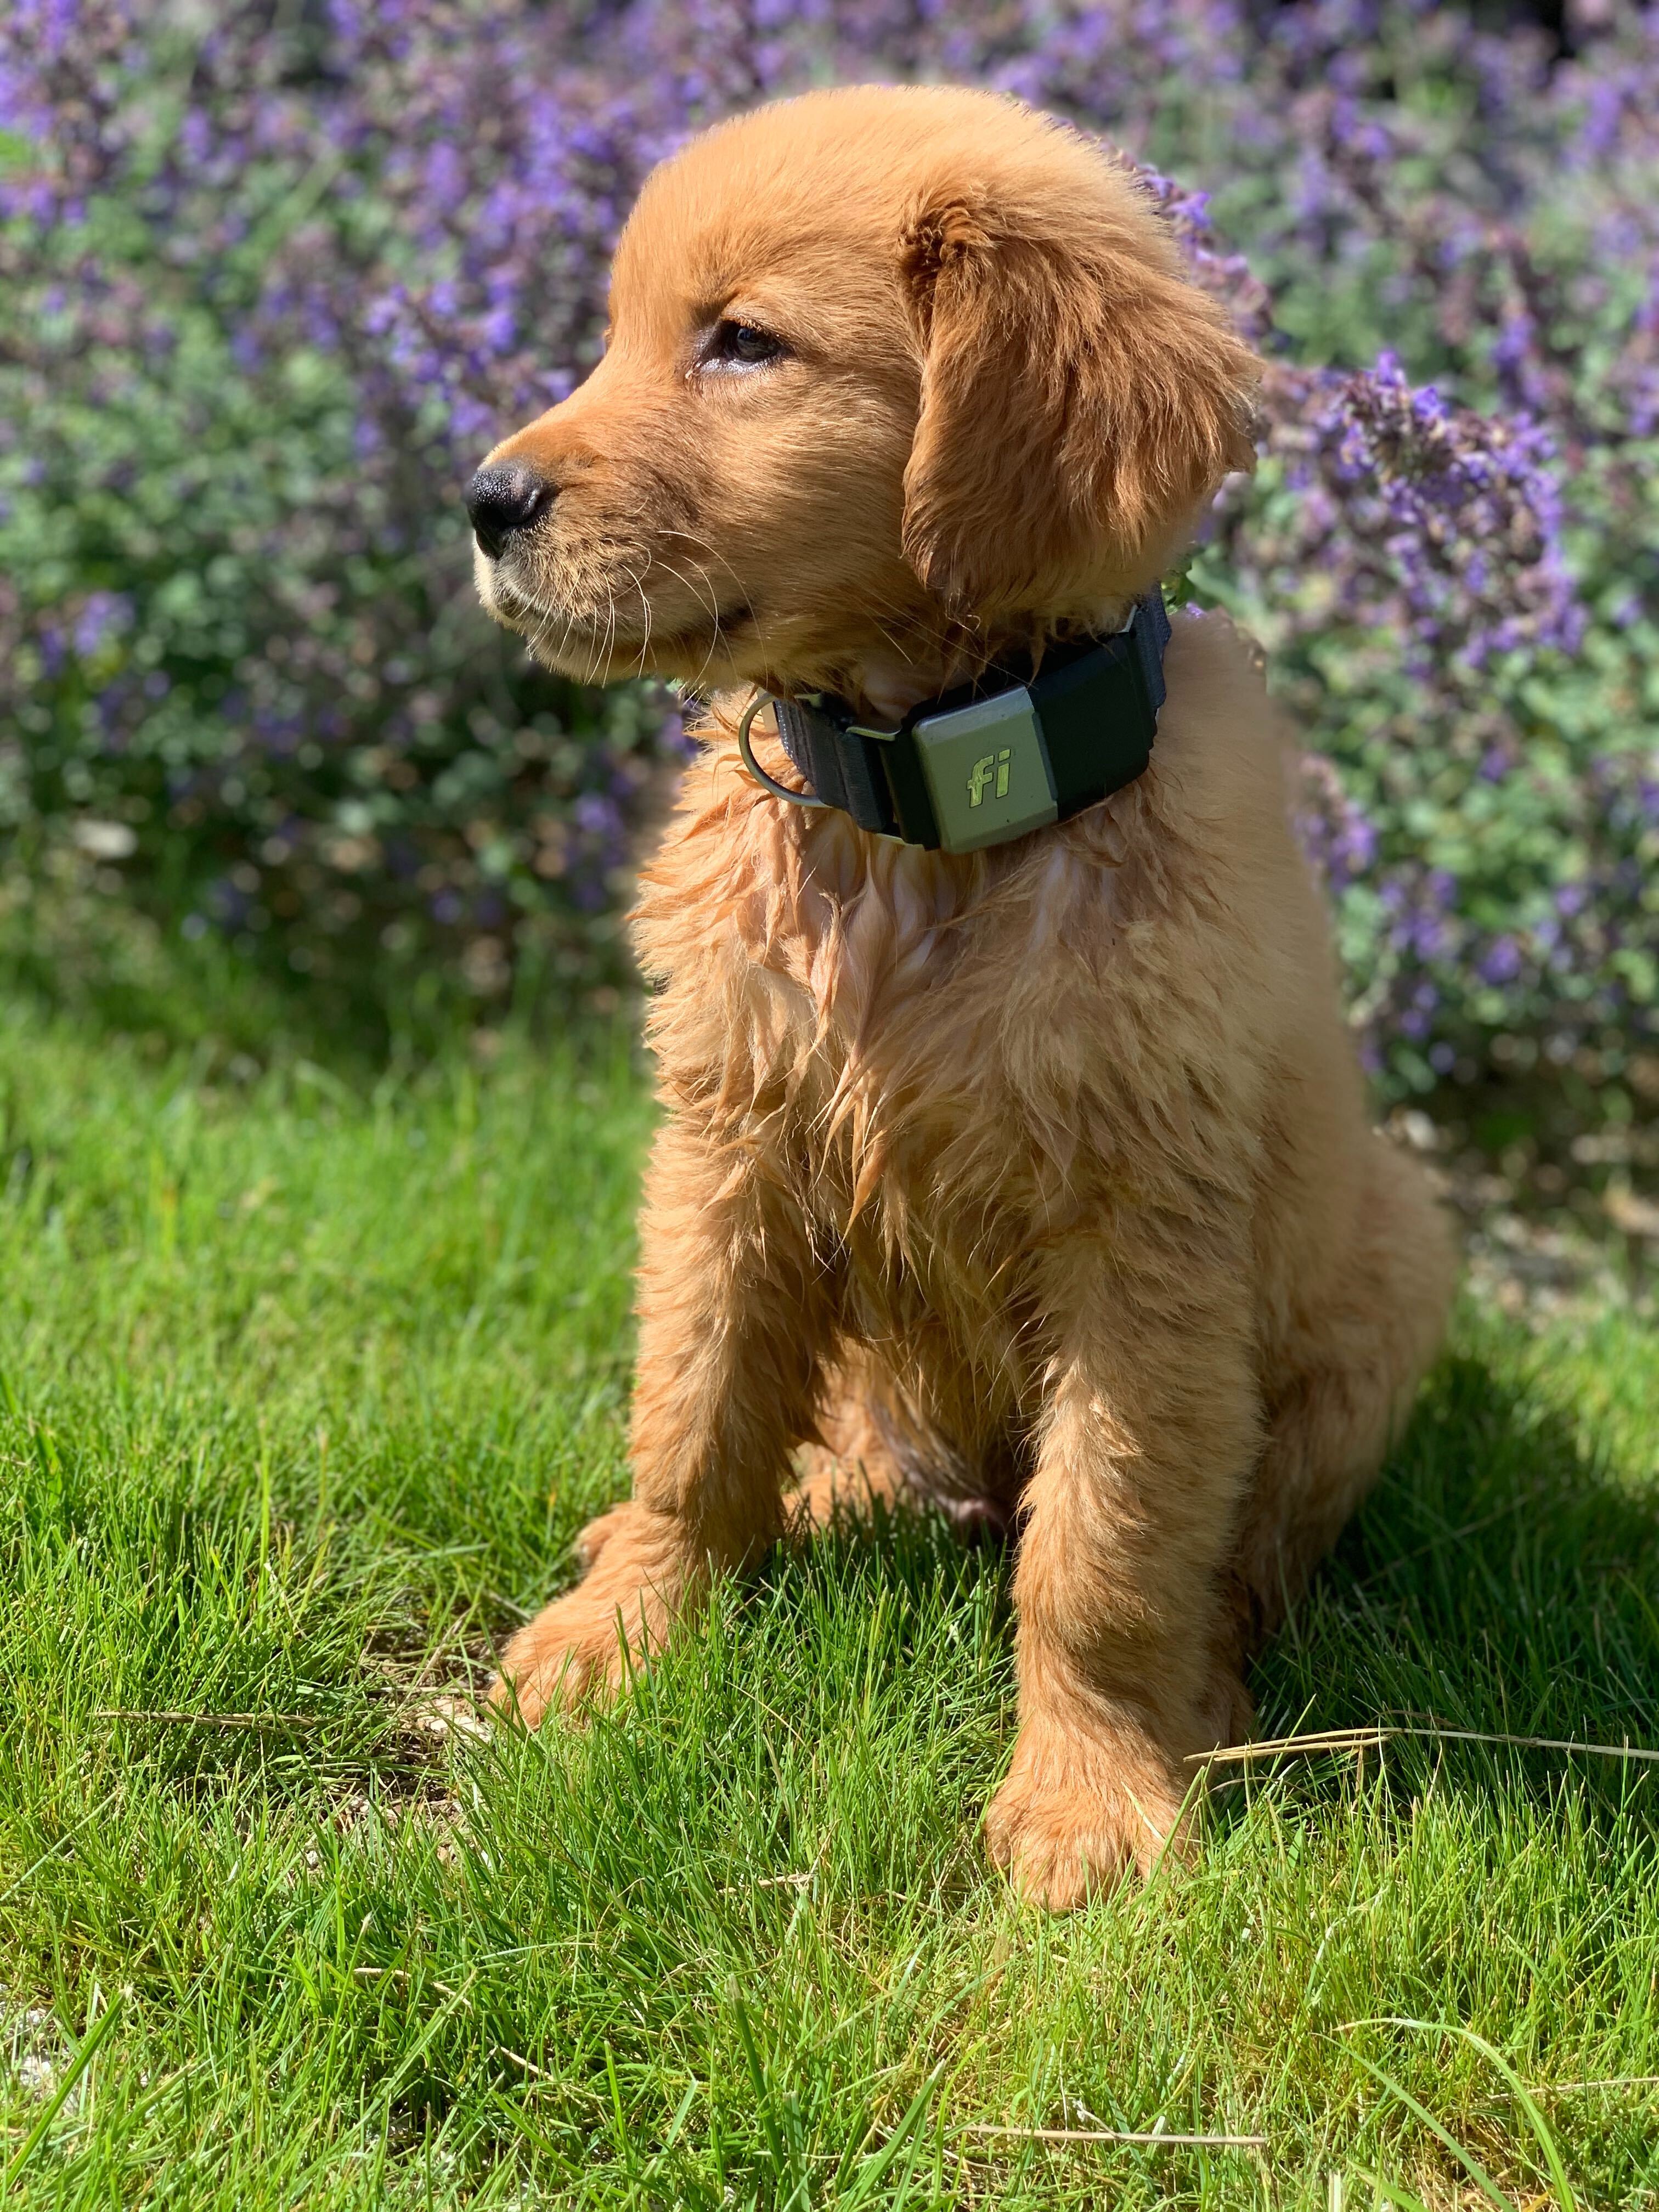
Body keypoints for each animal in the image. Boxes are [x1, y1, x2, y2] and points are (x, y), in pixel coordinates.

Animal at [464, 86, 1451, 1902]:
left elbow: (1104, 1547)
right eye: (620, 331)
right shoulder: (728, 1141)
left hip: (1397, 1264)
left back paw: (1211, 1682)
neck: (915, 814)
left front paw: (1087, 1795)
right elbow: (695, 1414)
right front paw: (623, 1632)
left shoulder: (1145, 1240)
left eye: (744, 342)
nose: (485, 502)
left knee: (1240, 1550)